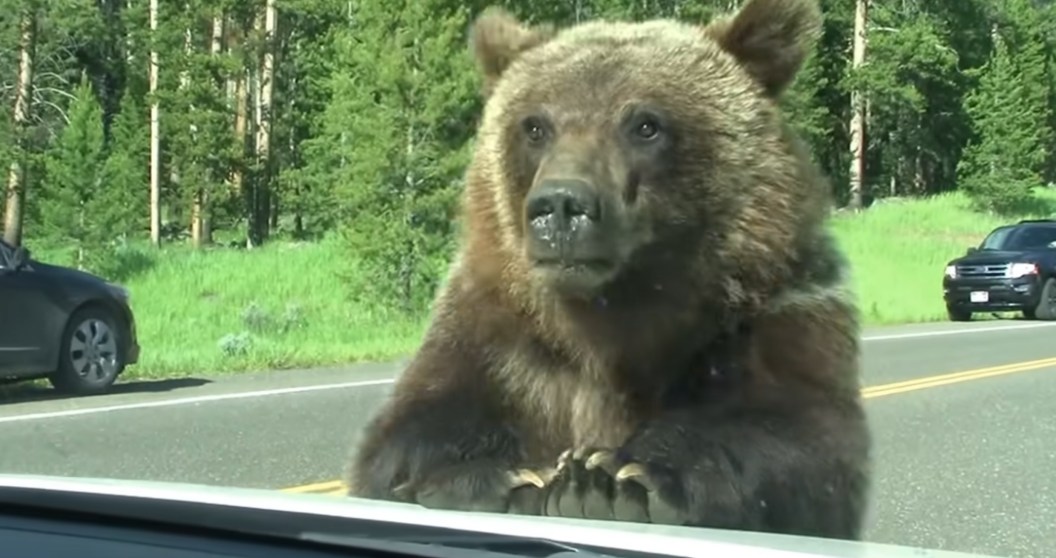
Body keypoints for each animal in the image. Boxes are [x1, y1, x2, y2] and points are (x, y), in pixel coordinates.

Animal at [346, 0, 872, 541]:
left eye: (645, 124)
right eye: (534, 125)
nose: (560, 206)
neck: (610, 318)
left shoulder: (773, 310)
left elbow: (799, 436)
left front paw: (615, 479)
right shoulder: (496, 332)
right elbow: (407, 435)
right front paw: (493, 478)